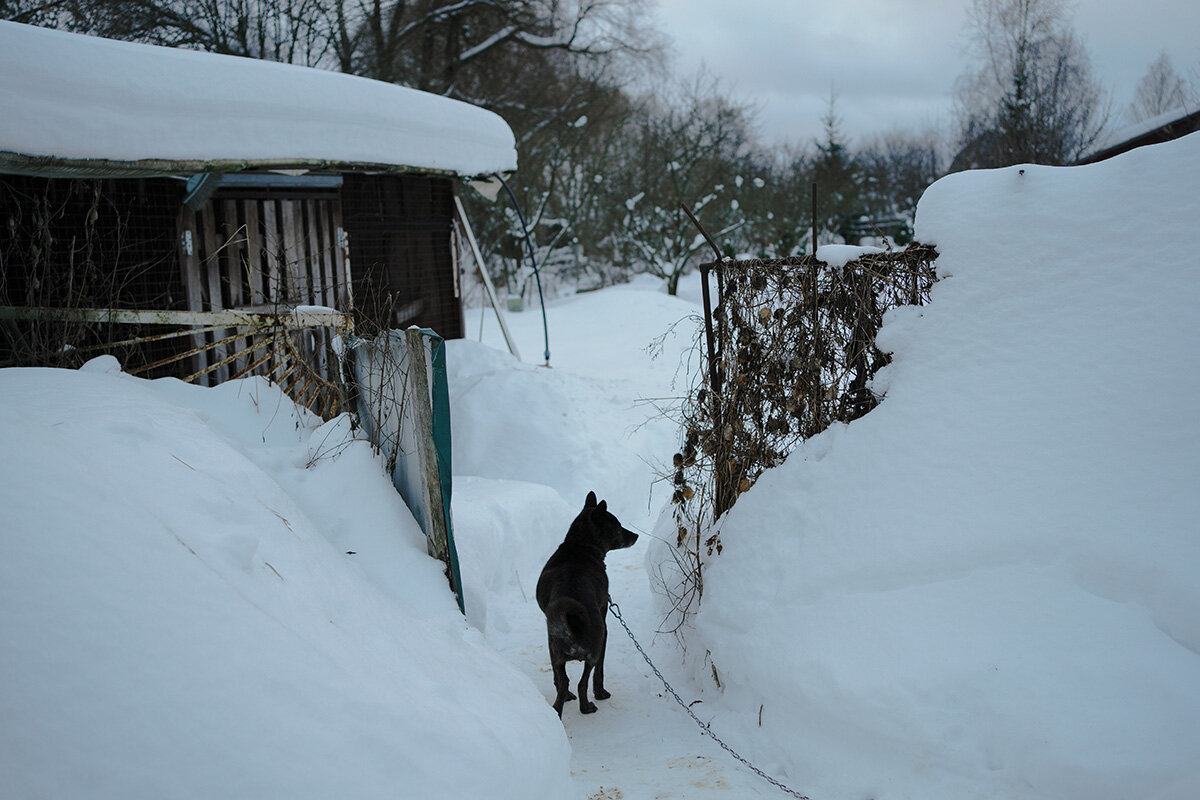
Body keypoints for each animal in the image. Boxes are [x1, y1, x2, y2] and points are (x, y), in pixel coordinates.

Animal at [535, 491, 638, 714]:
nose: (636, 536)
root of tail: (571, 630)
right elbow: (600, 671)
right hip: (594, 648)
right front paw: (601, 693)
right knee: (582, 682)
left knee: (562, 682)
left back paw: (560, 706)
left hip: (555, 652)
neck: (580, 546)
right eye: (617, 527)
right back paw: (587, 706)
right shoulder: (605, 626)